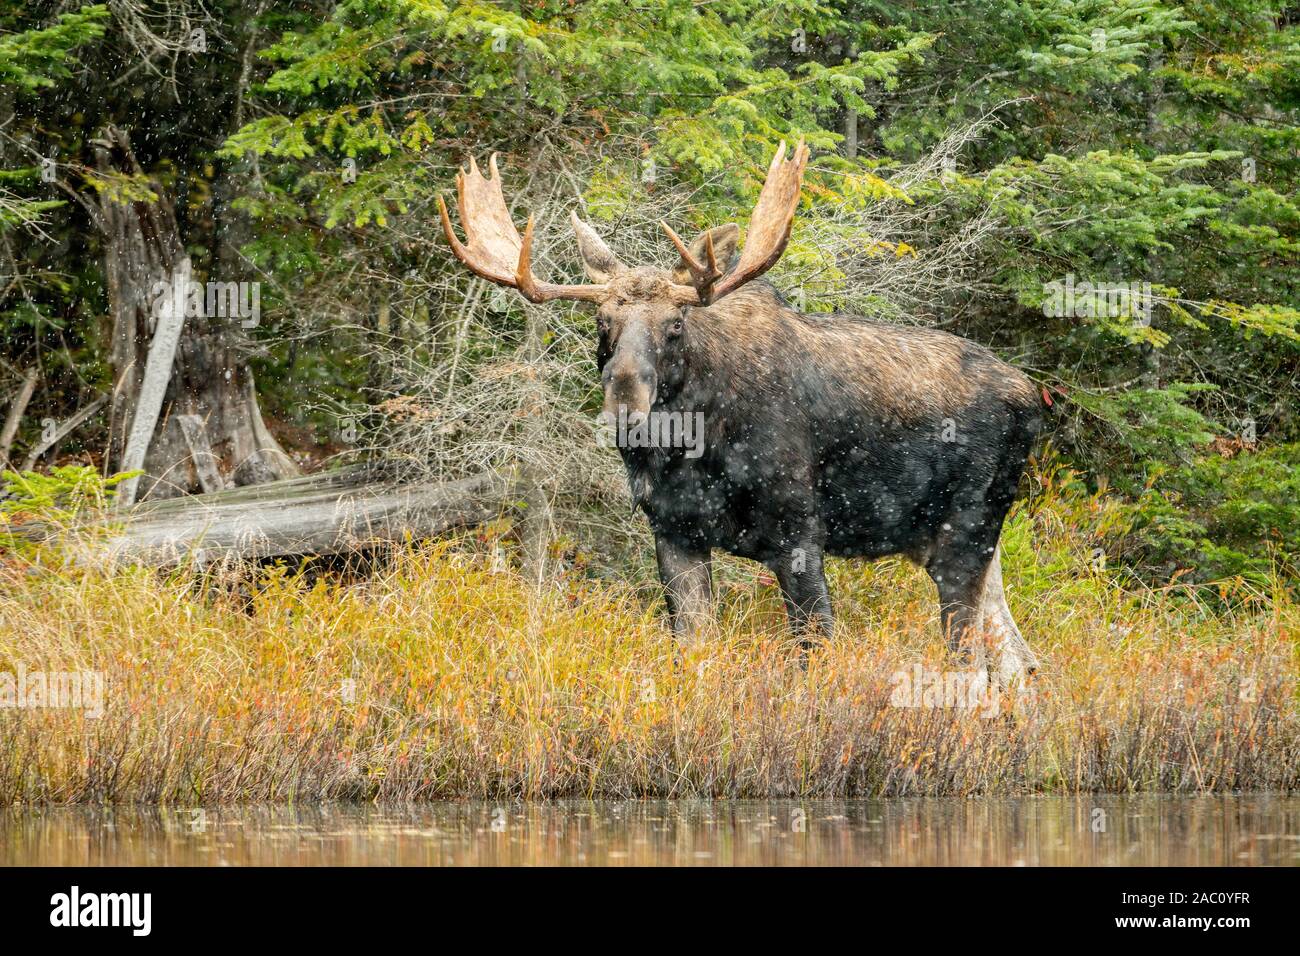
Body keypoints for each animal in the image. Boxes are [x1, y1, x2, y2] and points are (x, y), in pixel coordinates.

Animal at [441, 141, 1040, 686]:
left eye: (675, 323)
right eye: (602, 322)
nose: (624, 401)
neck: (691, 449)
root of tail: (1037, 397)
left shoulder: (800, 531)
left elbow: (816, 653)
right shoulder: (674, 531)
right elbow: (694, 654)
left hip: (967, 532)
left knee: (973, 666)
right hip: (963, 543)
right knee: (1017, 657)